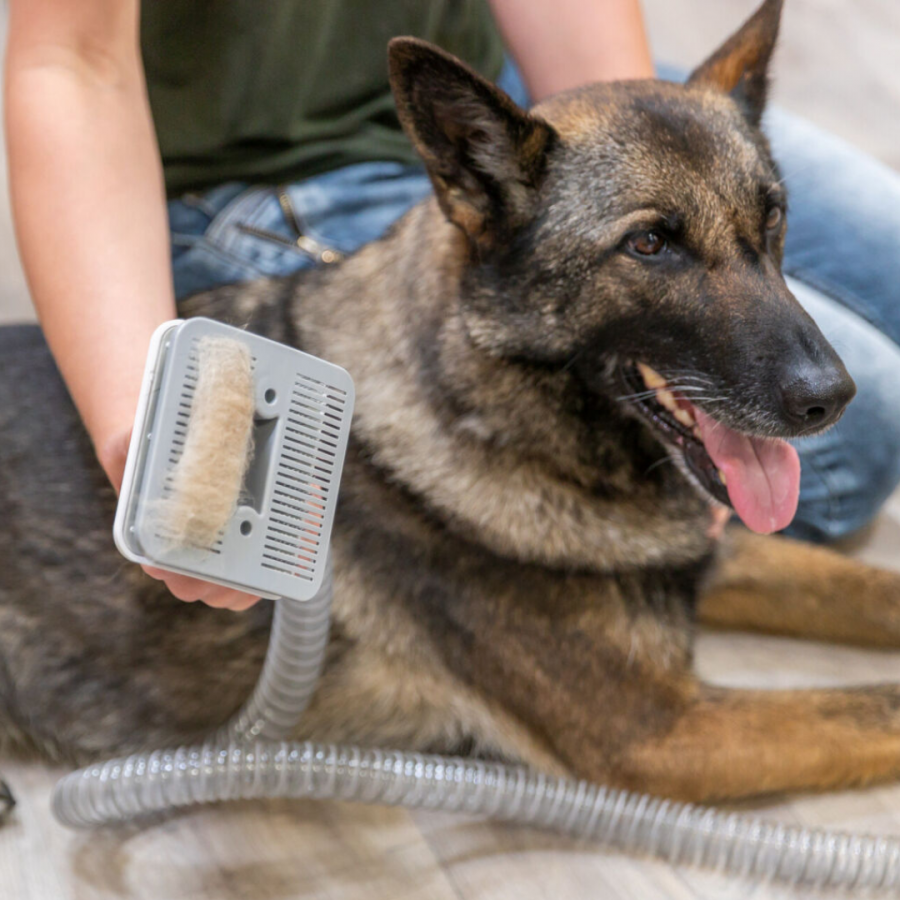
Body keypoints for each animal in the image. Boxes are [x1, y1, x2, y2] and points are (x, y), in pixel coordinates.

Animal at [1, 0, 900, 808]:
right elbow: (875, 705)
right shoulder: (664, 730)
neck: (487, 409)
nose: (832, 399)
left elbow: (873, 590)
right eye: (650, 244)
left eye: (773, 219)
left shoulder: (716, 556)